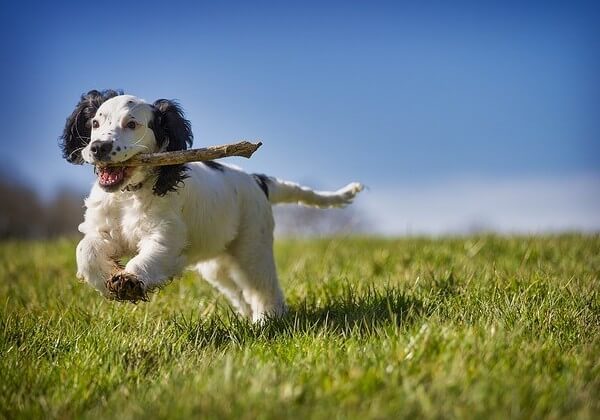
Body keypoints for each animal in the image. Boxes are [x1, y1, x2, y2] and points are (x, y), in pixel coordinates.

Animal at [61, 89, 364, 322]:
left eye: (132, 125)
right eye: (95, 123)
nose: (98, 148)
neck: (130, 194)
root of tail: (257, 180)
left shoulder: (166, 234)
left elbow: (150, 256)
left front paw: (130, 281)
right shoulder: (103, 230)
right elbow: (85, 251)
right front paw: (108, 280)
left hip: (252, 247)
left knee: (263, 287)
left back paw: (267, 320)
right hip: (217, 265)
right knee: (239, 291)